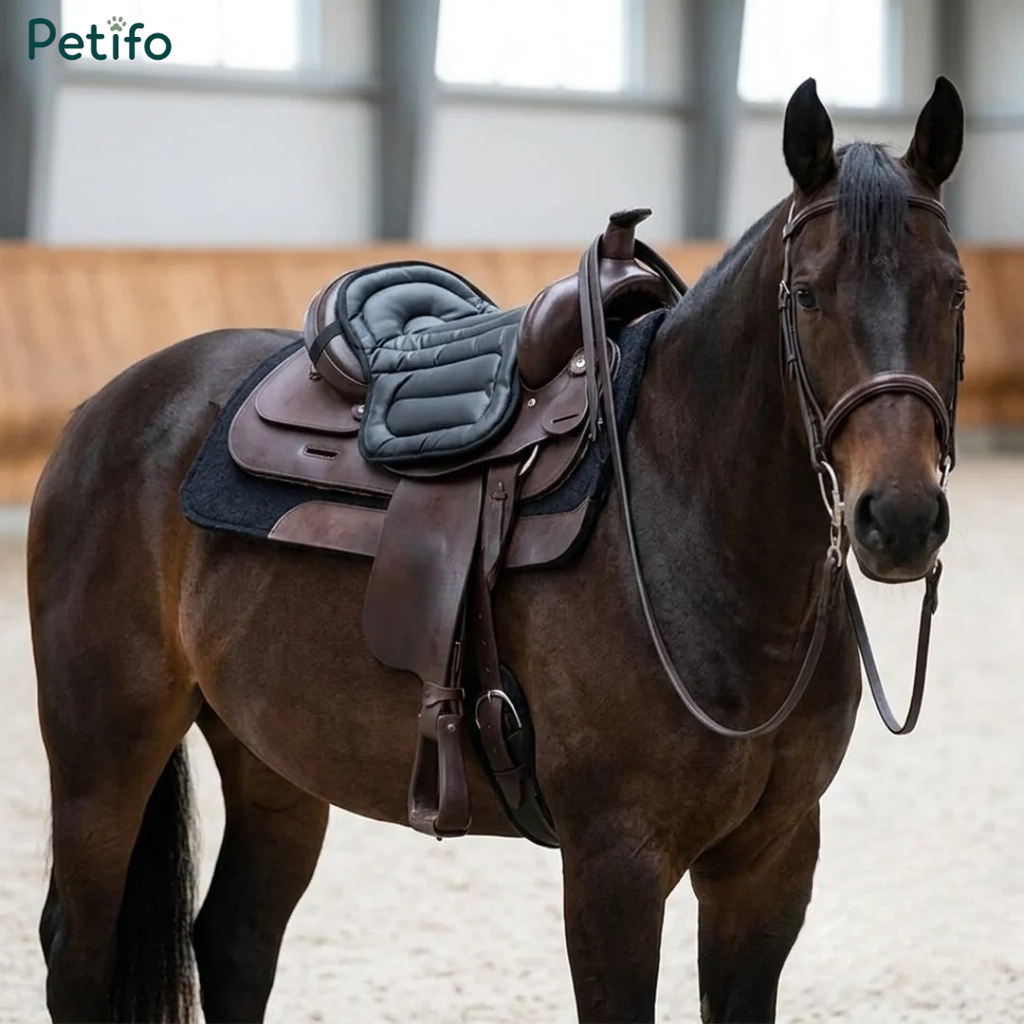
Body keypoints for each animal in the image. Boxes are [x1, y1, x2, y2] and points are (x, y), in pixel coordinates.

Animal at [29, 77, 966, 1023]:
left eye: (956, 292)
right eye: (807, 294)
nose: (900, 517)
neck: (695, 535)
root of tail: (104, 409)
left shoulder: (770, 862)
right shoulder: (615, 867)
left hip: (272, 755)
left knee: (235, 939)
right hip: (103, 750)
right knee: (78, 951)